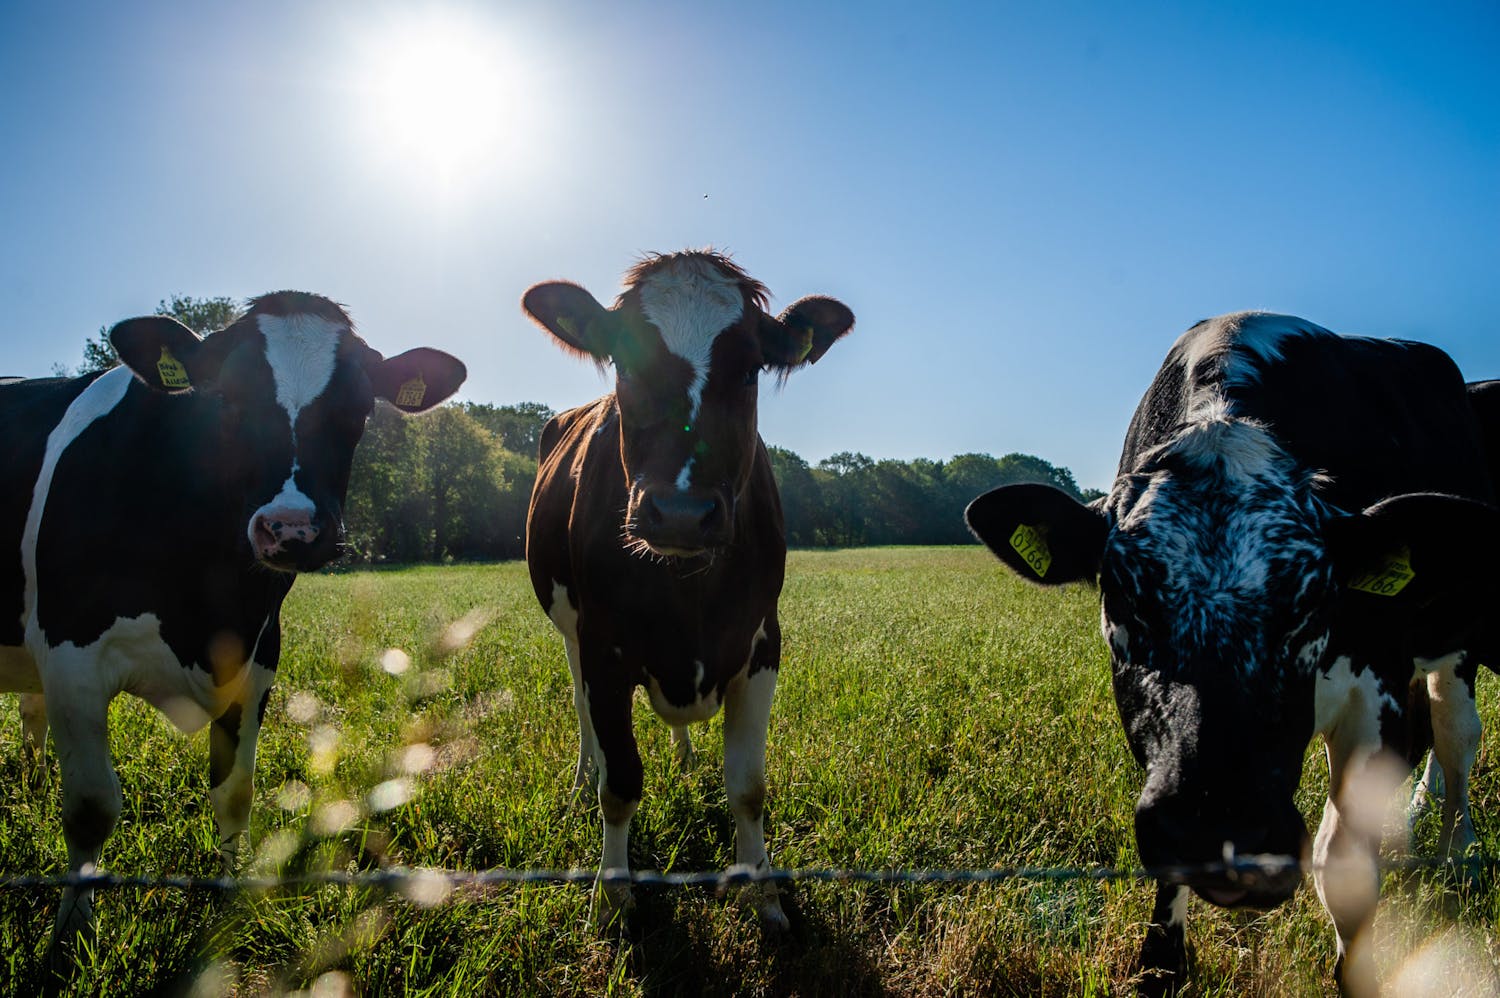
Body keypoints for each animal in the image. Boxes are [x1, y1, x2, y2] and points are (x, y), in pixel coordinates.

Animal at [0, 292, 466, 959]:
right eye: (227, 398)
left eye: (357, 410)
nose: (292, 529)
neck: (211, 599)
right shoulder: (73, 653)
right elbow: (91, 807)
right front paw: (73, 935)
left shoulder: (258, 657)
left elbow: (234, 794)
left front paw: (231, 901)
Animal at [522, 250, 852, 927]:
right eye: (623, 361)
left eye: (750, 369)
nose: (679, 513)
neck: (687, 594)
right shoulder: (603, 647)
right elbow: (621, 782)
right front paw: (612, 896)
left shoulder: (762, 642)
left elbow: (748, 788)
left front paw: (764, 893)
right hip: (568, 629)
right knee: (582, 712)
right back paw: (581, 776)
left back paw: (685, 756)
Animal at [964, 312, 1500, 996]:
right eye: (1123, 592)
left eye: (1314, 595)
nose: (1225, 832)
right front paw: (1161, 966)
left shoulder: (1375, 689)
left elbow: (1343, 865)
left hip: (1456, 643)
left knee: (1456, 736)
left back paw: (1461, 854)